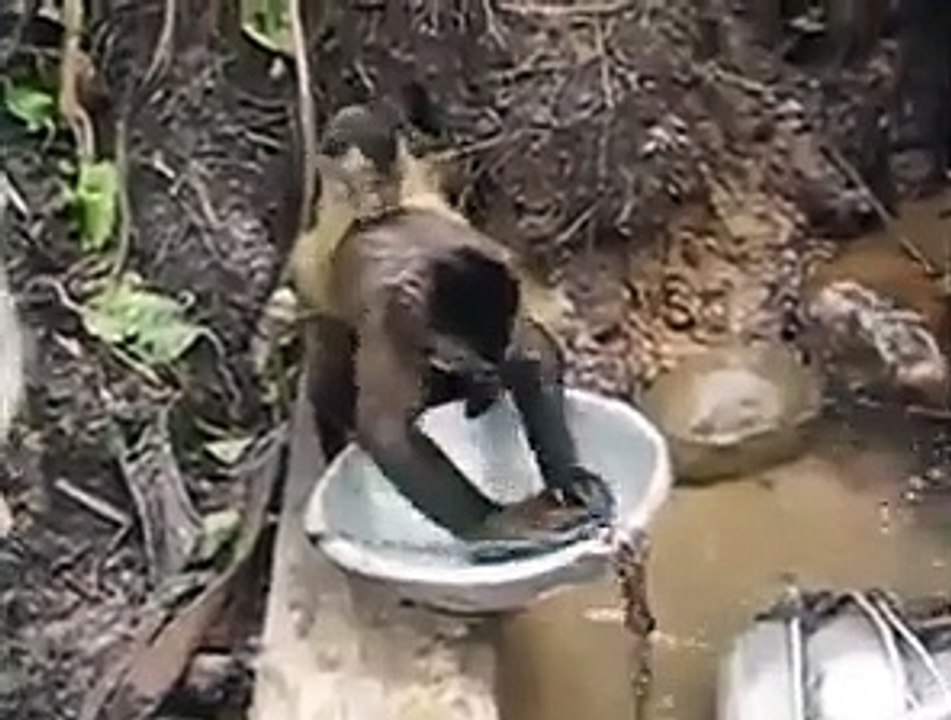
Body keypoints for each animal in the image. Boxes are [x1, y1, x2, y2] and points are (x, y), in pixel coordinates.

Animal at [289, 99, 613, 550]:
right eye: (457, 354)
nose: (483, 370)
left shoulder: (501, 292)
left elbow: (532, 353)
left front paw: (568, 477)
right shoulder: (393, 319)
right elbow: (386, 430)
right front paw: (496, 525)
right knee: (328, 358)